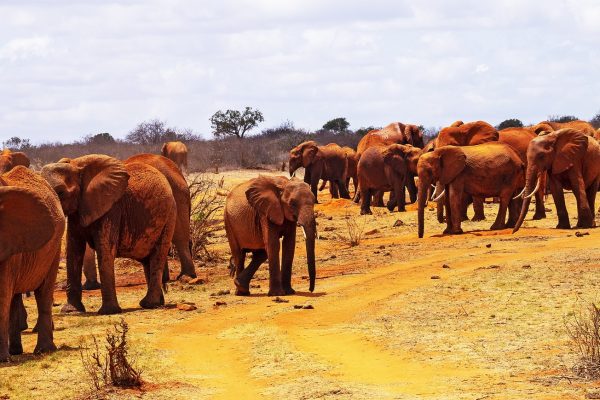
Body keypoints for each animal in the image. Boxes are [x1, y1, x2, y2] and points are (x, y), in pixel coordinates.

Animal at [40, 155, 173, 314]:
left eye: (60, 193)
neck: (76, 165)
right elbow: (74, 250)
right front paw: (71, 311)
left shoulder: (111, 209)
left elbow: (105, 249)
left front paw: (109, 311)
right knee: (148, 260)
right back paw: (156, 303)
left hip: (169, 217)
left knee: (158, 255)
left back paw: (149, 304)